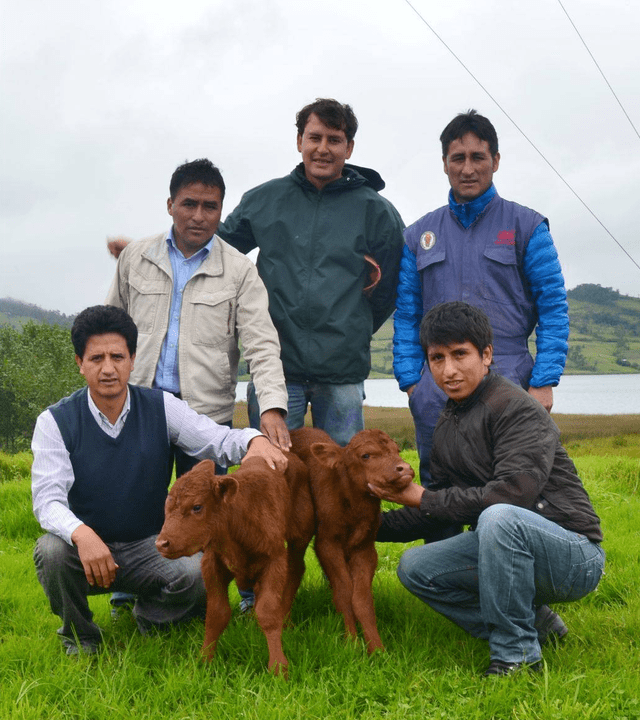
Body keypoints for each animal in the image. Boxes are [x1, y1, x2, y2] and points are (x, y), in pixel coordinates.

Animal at [156, 456, 316, 676]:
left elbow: (268, 612)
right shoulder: (212, 565)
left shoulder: (274, 561)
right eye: (167, 506)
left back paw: (286, 621)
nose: (161, 543)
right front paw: (204, 661)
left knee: (295, 571)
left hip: (299, 538)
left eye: (197, 507)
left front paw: (278, 667)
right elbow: (216, 614)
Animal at [288, 428, 412, 652]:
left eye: (397, 450)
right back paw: (287, 624)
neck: (355, 509)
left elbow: (361, 598)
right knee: (292, 569)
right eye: (366, 455)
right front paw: (352, 642)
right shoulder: (327, 543)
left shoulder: (365, 548)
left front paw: (376, 648)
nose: (404, 468)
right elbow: (344, 591)